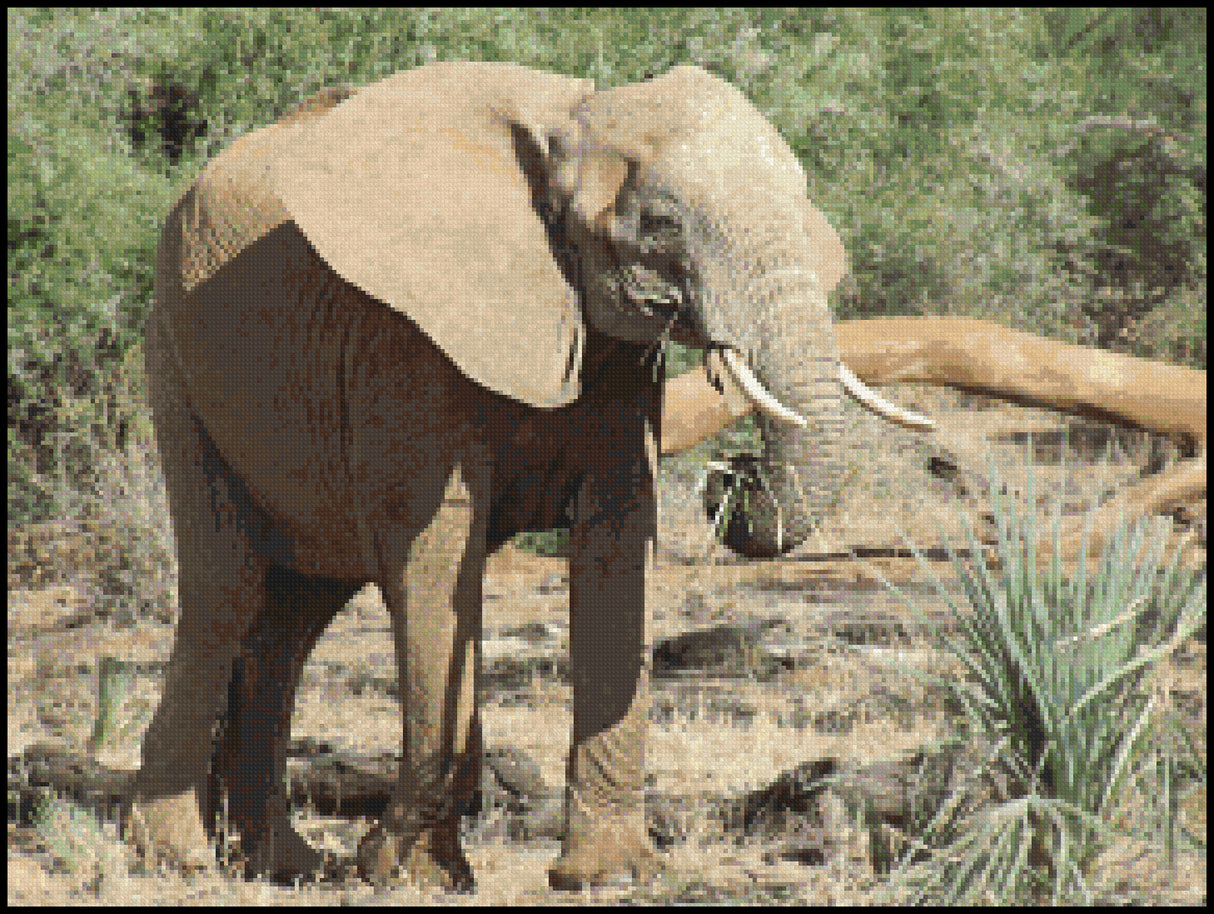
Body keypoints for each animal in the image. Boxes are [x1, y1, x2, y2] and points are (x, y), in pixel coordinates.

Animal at [128, 61, 919, 890]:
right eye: (660, 223)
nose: (730, 475)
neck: (573, 120)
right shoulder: (404, 339)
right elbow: (435, 549)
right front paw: (412, 874)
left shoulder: (611, 359)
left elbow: (618, 541)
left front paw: (609, 876)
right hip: (173, 360)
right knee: (226, 589)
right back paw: (177, 857)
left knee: (294, 613)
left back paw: (283, 866)